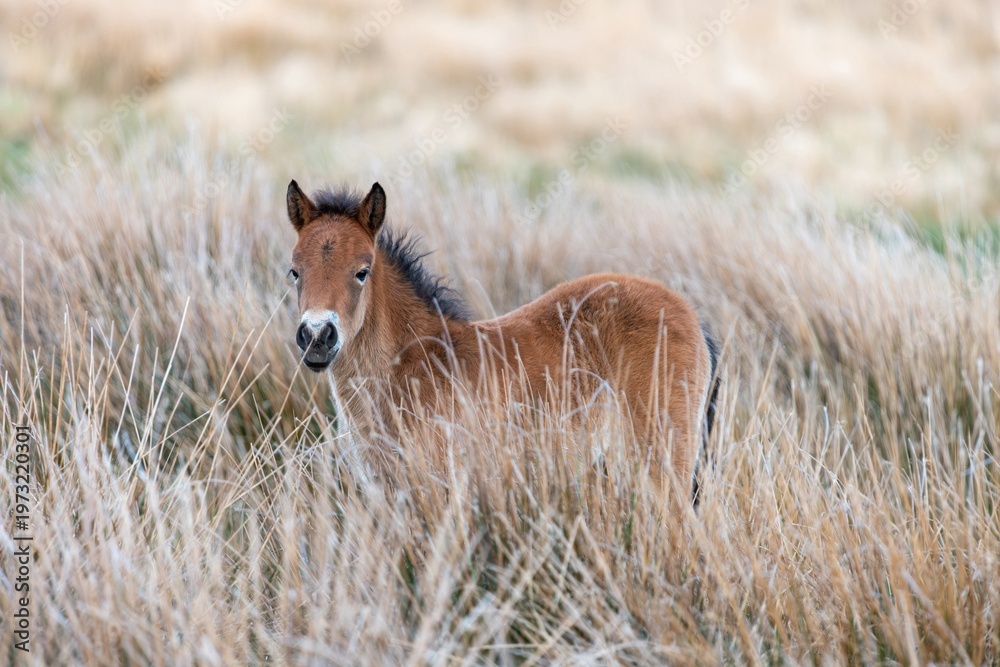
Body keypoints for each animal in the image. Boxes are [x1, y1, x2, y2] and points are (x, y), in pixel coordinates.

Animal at [285, 180, 720, 499]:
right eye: (294, 271)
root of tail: (690, 315)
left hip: (663, 464)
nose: (317, 336)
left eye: (362, 271)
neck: (412, 364)